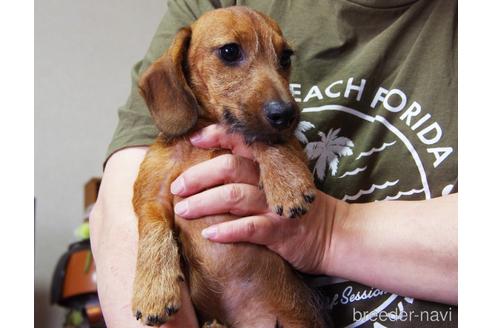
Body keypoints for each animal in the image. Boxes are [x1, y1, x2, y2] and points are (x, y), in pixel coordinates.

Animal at [133, 5, 328, 328]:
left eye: (285, 57)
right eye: (229, 51)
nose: (287, 114)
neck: (204, 131)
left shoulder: (289, 146)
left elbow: (261, 138)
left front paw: (286, 183)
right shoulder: (151, 196)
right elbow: (153, 230)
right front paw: (153, 290)